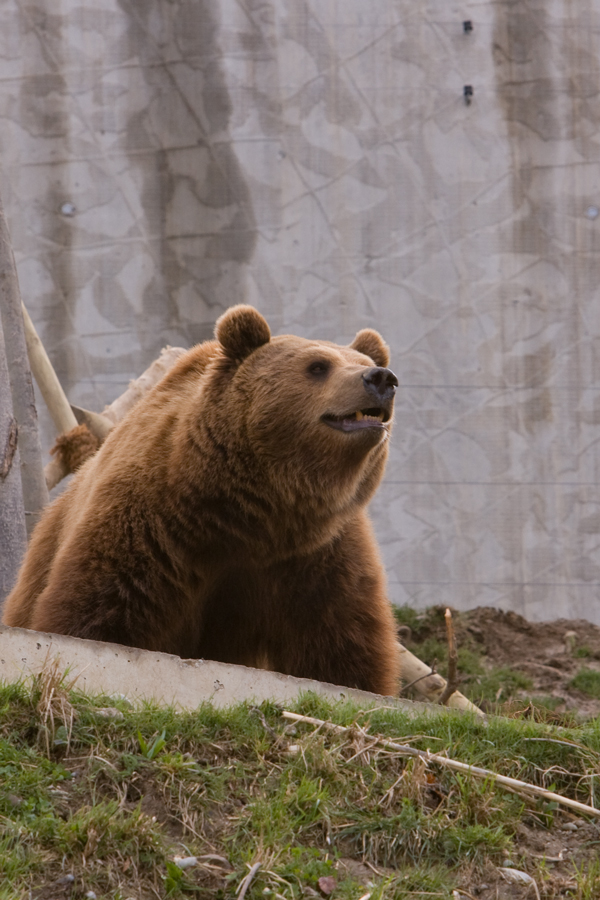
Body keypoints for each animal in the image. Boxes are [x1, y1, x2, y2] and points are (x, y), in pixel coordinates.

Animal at [4, 306, 400, 692]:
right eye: (318, 366)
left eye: (361, 359)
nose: (381, 378)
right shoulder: (149, 522)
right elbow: (97, 610)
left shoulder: (321, 554)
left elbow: (341, 645)